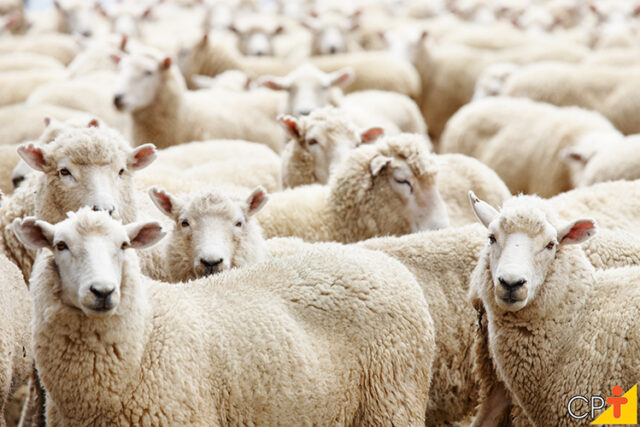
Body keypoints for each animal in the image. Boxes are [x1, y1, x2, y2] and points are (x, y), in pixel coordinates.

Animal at [15, 207, 435, 426]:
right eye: (60, 245)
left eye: (123, 245)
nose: (102, 291)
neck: (146, 335)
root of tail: (382, 262)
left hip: (392, 402)